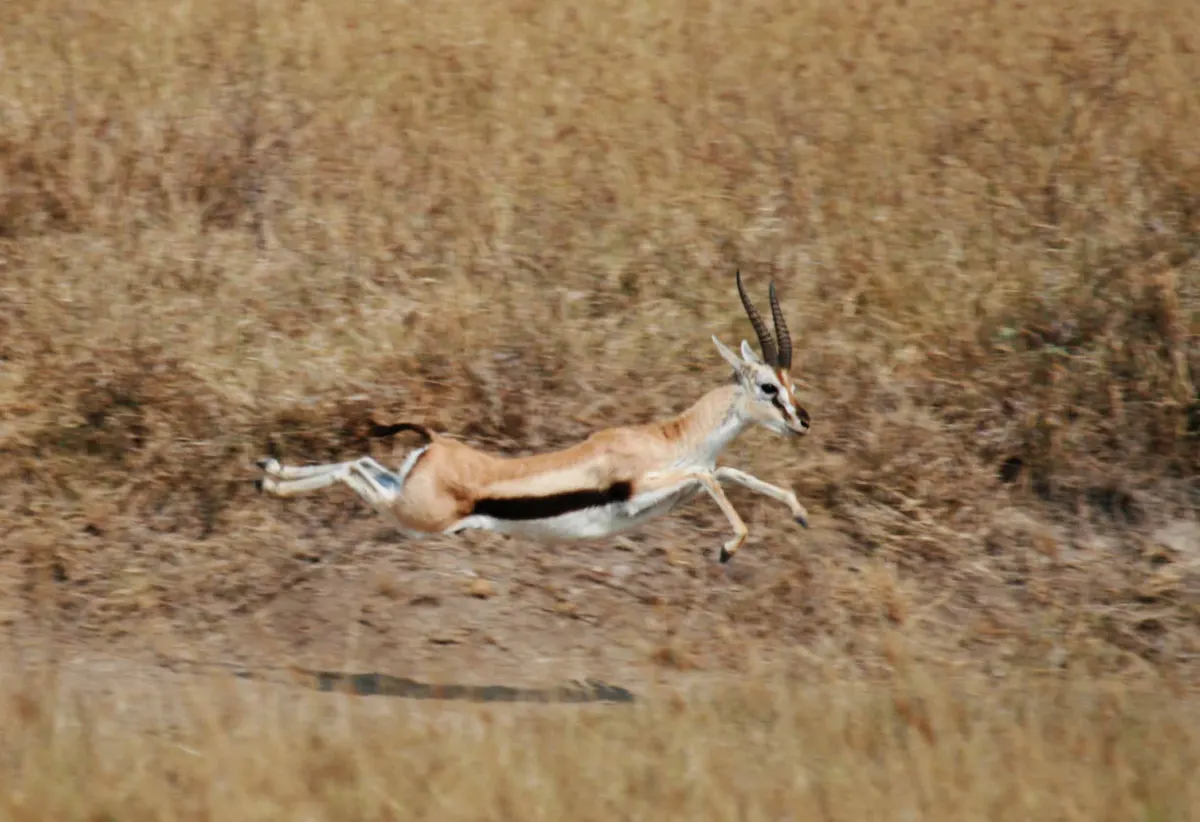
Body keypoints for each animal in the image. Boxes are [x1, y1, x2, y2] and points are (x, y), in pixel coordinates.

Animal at [255, 271, 811, 563]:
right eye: (768, 386)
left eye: (792, 384)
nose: (803, 420)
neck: (669, 439)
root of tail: (437, 443)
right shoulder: (644, 489)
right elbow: (712, 474)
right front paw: (729, 547)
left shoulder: (684, 483)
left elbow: (728, 472)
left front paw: (799, 513)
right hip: (415, 518)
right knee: (353, 470)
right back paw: (272, 479)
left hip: (405, 497)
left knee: (363, 463)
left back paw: (271, 473)